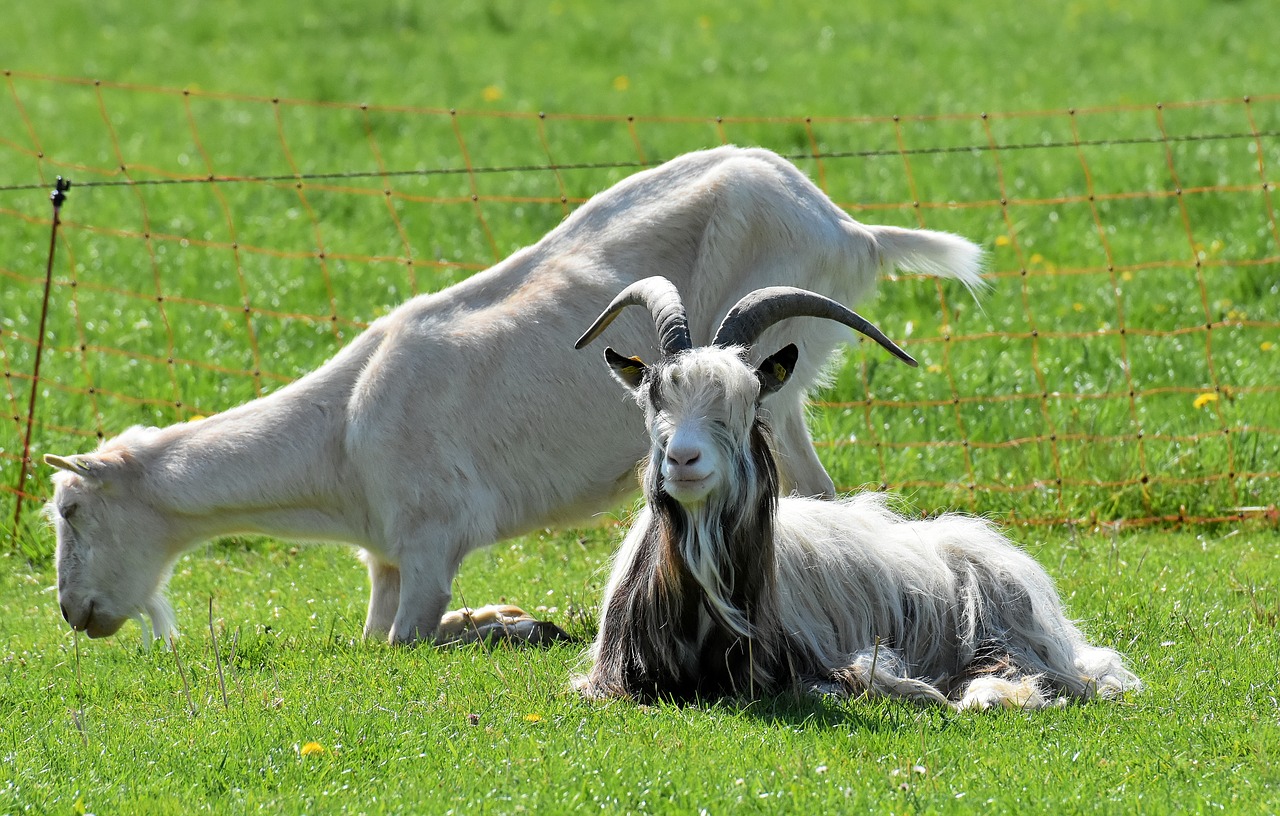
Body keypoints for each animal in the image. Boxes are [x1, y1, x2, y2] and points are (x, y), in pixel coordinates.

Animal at [40, 145, 977, 644]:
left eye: (70, 512)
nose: (74, 613)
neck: (342, 435)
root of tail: (851, 230)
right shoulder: (388, 559)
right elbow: (375, 638)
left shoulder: (431, 545)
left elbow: (407, 644)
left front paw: (513, 625)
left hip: (773, 384)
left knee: (812, 490)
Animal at [570, 276, 1141, 711]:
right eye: (653, 397)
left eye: (750, 401)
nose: (683, 459)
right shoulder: (610, 680)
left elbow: (847, 681)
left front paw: (918, 692)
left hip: (999, 619)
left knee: (1036, 672)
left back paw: (990, 695)